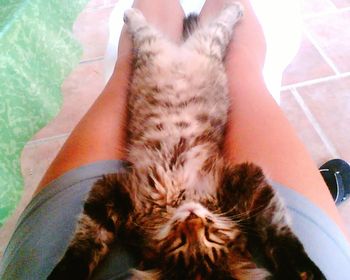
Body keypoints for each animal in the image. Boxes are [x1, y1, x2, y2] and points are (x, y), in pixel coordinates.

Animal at [47, 2, 326, 280]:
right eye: (179, 241)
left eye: (211, 236)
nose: (193, 218)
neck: (178, 201)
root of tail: (180, 51)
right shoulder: (112, 192)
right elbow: (87, 240)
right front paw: (68, 270)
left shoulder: (250, 183)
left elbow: (277, 229)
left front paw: (300, 268)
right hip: (171, 47)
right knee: (170, 28)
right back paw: (136, 14)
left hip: (194, 46)